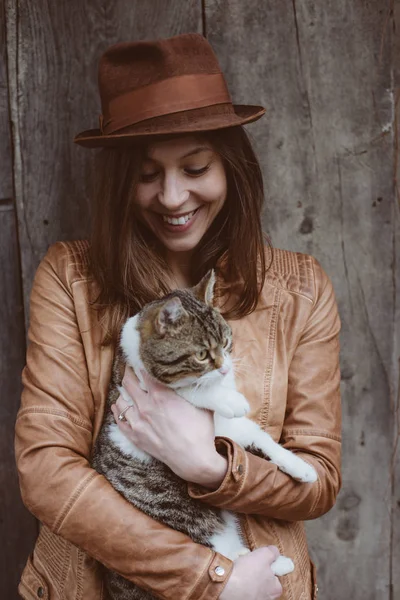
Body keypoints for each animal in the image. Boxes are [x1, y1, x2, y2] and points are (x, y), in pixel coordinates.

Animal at [92, 270, 318, 600]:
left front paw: (301, 467)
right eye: (200, 355)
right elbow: (191, 390)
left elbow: (261, 438)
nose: (224, 369)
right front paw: (226, 397)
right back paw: (272, 565)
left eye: (226, 342)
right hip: (190, 522)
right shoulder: (139, 384)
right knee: (223, 558)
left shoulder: (229, 428)